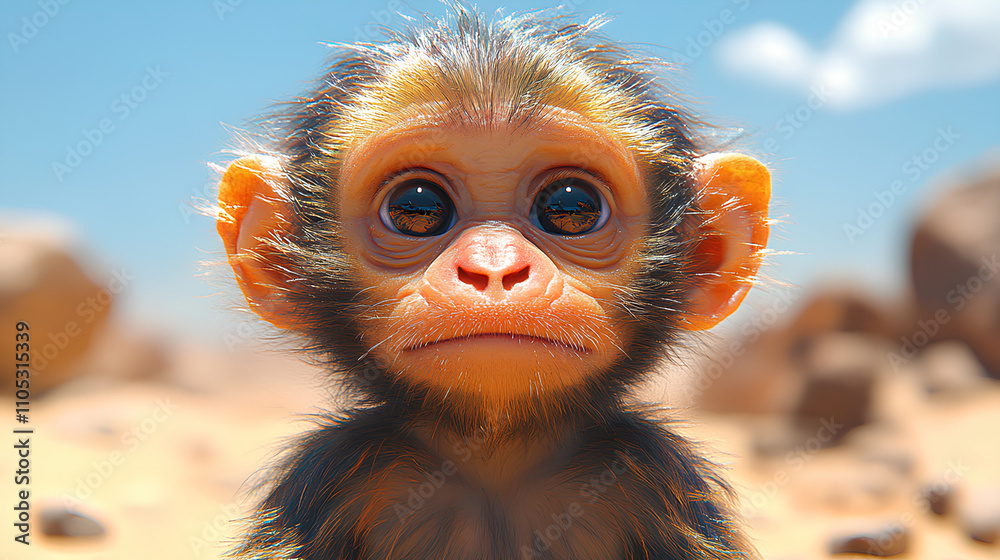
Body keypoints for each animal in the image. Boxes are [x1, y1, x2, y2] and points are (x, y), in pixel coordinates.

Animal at [215, 5, 770, 559]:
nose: (494, 267)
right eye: (416, 207)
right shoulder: (334, 475)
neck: (496, 457)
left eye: (571, 206)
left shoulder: (655, 476)